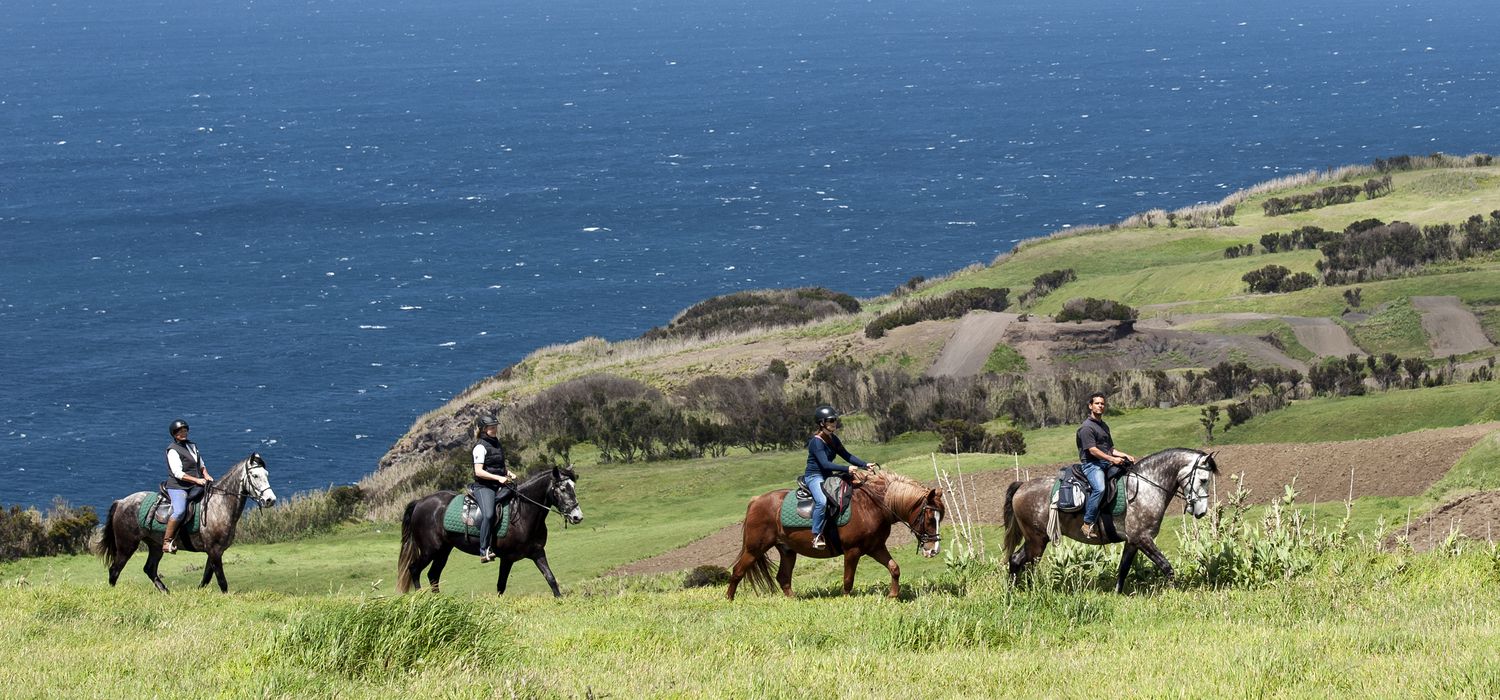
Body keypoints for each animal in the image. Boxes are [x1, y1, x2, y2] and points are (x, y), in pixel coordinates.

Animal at [99, 452, 279, 593]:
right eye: (255, 475)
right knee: (115, 570)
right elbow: (222, 582)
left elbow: (206, 579)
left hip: (155, 545)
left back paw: (166, 592)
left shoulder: (215, 551)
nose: (270, 500)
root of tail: (121, 502)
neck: (219, 505)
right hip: (127, 545)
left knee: (149, 569)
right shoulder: (214, 551)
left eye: (267, 474)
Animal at [396, 464, 582, 596]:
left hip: (443, 550)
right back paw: (421, 598)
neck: (523, 513)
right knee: (414, 569)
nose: (577, 516)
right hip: (430, 550)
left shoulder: (537, 552)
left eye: (574, 487)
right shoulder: (507, 558)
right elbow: (501, 585)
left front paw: (559, 599)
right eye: (562, 489)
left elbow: (550, 578)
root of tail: (420, 502)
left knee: (433, 575)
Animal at [723, 467, 936, 599]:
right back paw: (729, 599)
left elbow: (894, 568)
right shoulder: (853, 550)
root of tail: (756, 500)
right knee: (738, 571)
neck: (872, 505)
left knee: (783, 577)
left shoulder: (876, 547)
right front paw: (846, 599)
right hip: (754, 548)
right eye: (929, 518)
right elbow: (848, 579)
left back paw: (793, 600)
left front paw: (892, 595)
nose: (933, 549)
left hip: (787, 550)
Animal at [996, 449, 1218, 590]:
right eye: (1203, 479)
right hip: (1037, 540)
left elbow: (1123, 570)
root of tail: (1022, 486)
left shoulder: (1132, 541)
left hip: (1035, 540)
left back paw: (1014, 593)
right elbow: (1166, 567)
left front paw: (1118, 594)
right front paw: (1173, 592)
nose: (1201, 512)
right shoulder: (1142, 538)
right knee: (1025, 563)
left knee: (1016, 560)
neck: (1147, 487)